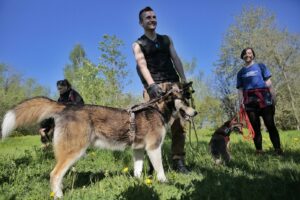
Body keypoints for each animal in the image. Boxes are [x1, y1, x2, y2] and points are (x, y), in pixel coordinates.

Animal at [1, 85, 197, 199]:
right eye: (184, 101)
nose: (195, 113)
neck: (159, 110)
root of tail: (67, 107)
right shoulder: (154, 148)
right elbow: (161, 170)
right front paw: (165, 182)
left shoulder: (138, 150)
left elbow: (138, 170)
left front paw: (139, 184)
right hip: (75, 151)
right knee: (54, 174)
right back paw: (58, 195)